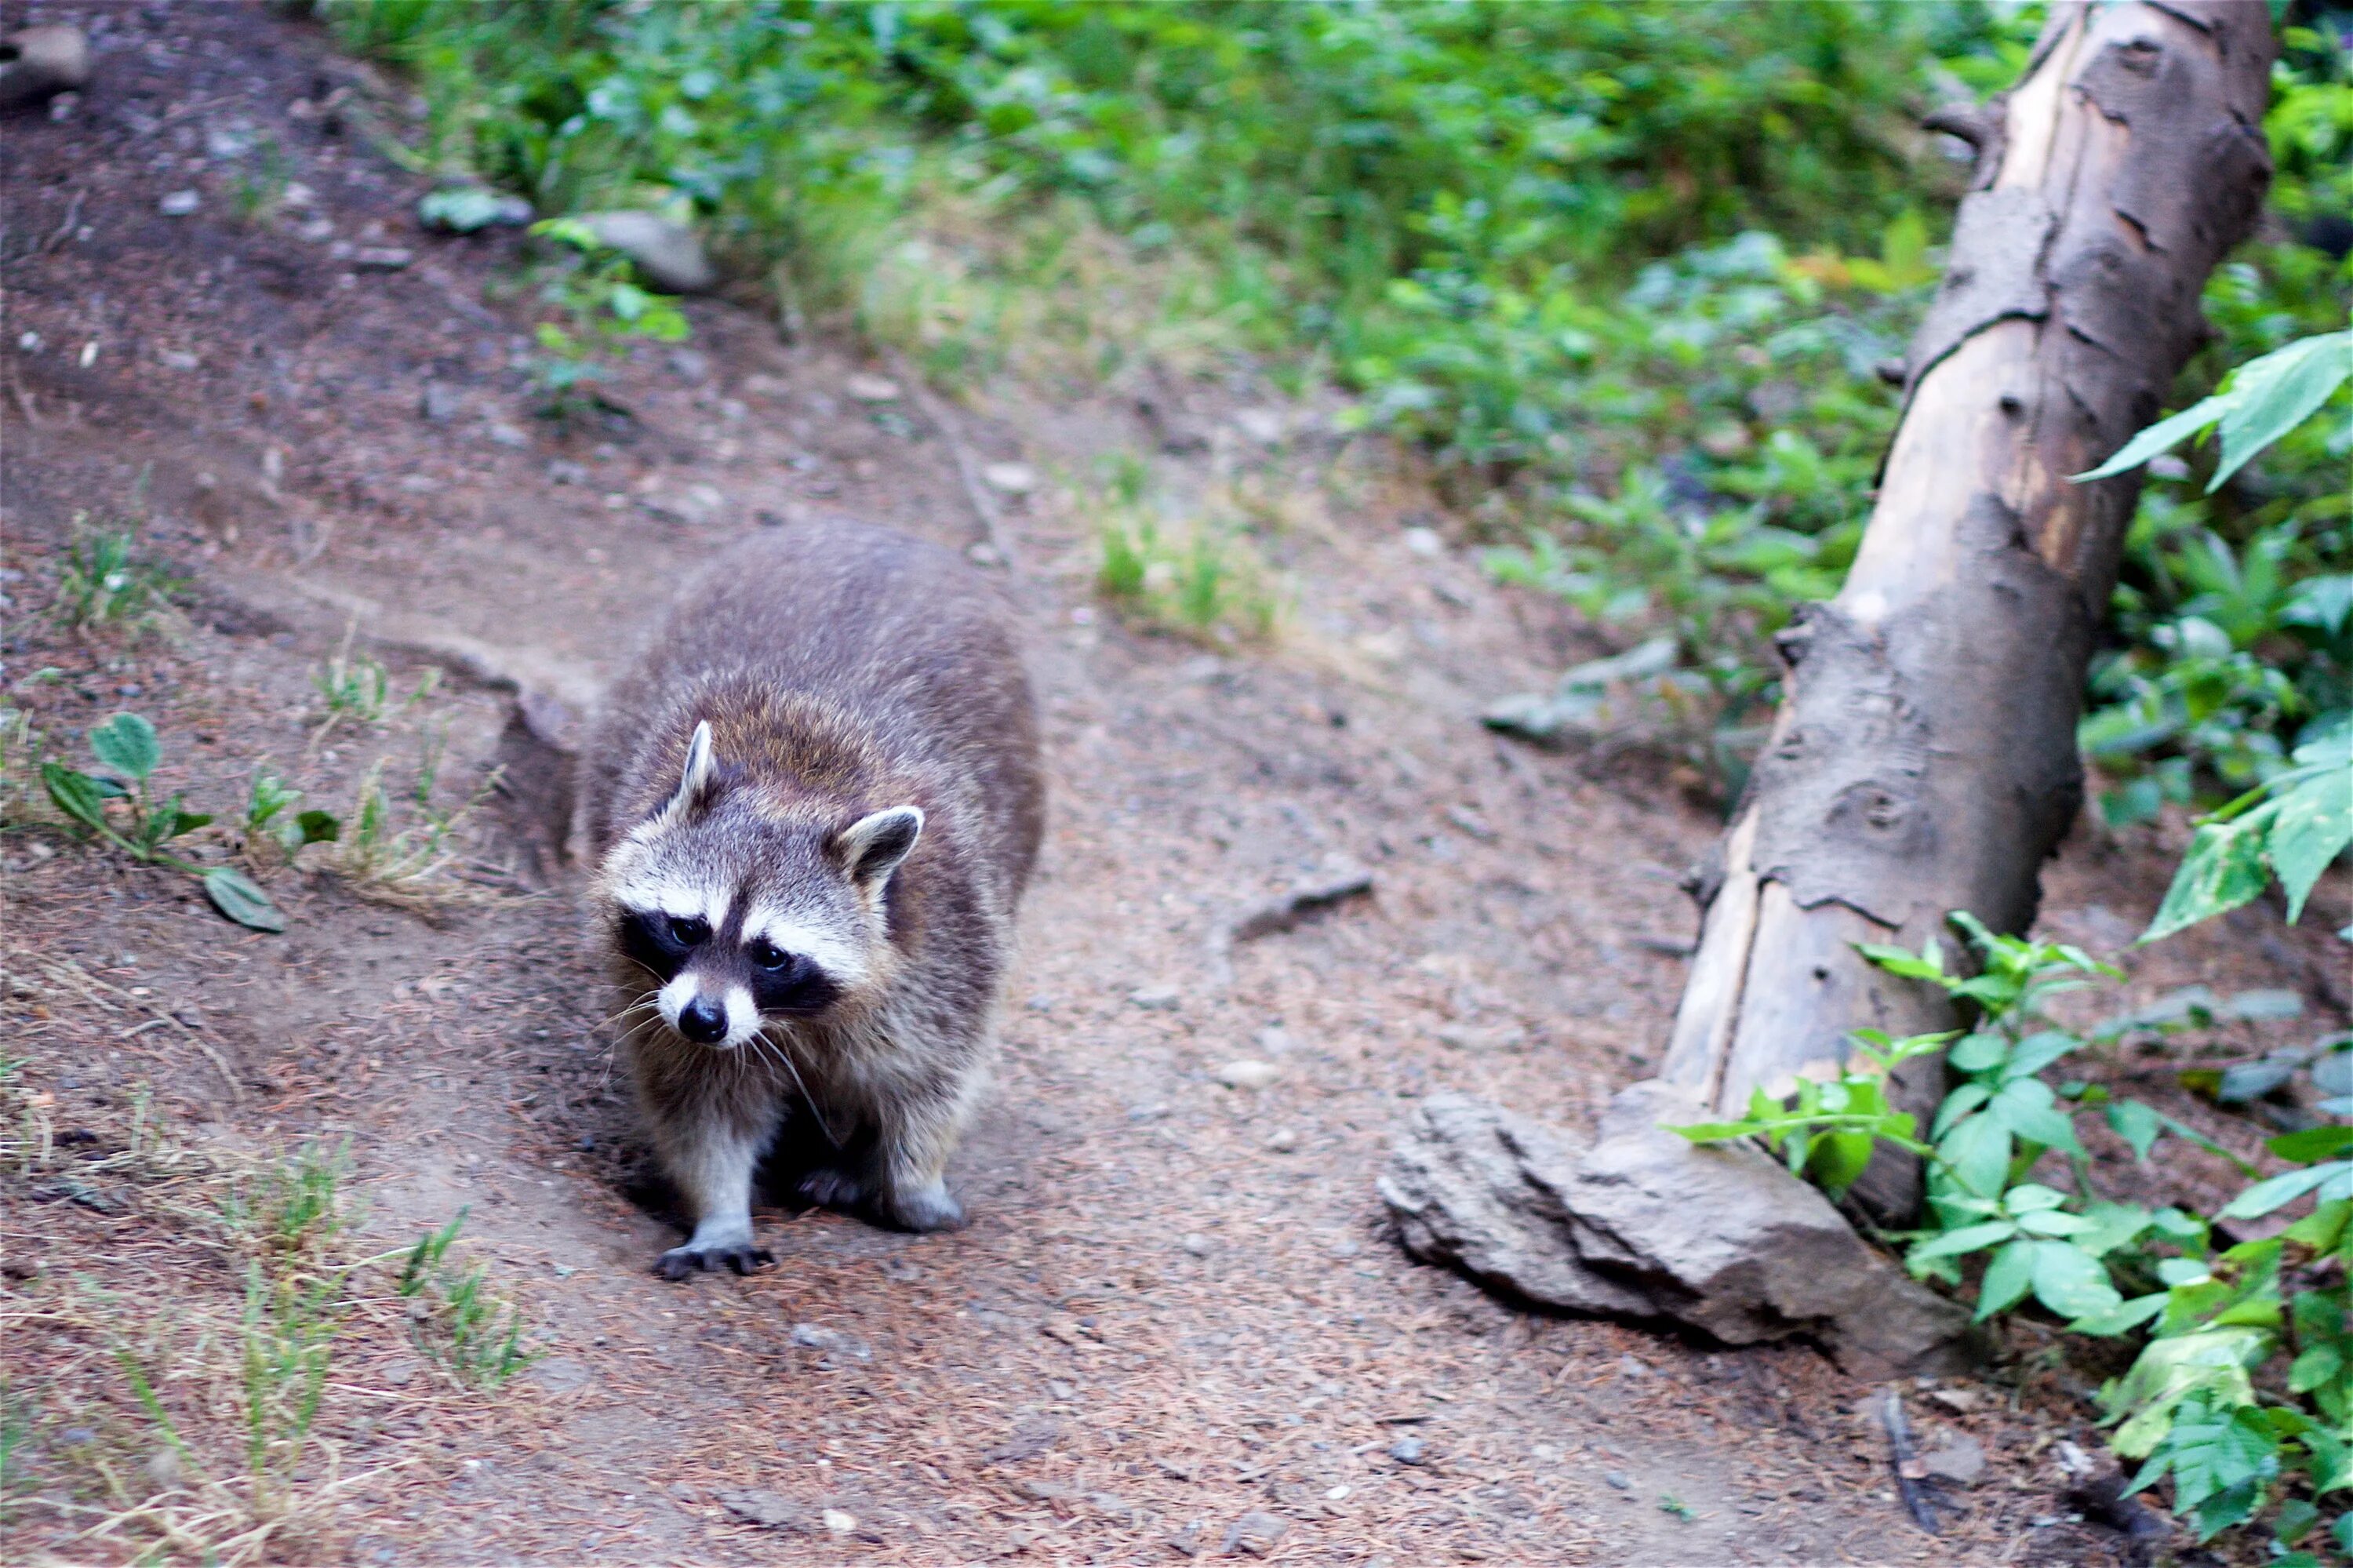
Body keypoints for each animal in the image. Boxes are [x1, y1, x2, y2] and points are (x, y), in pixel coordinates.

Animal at [586, 518, 1040, 1280]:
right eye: (686, 928)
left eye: (772, 954)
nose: (704, 1018)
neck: (796, 785)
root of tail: (880, 531)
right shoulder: (656, 990)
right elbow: (702, 1101)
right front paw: (721, 1208)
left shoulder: (947, 949)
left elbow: (930, 1081)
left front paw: (907, 1178)